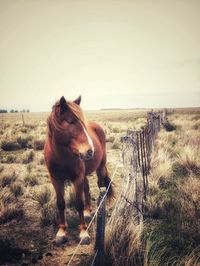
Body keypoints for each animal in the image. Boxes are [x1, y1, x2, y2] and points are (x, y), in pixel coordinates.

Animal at [44, 95, 115, 245]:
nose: (90, 151)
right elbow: (61, 203)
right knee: (87, 188)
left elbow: (78, 203)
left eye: (83, 123)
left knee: (100, 187)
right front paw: (61, 231)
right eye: (71, 122)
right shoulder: (56, 179)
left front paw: (83, 233)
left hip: (99, 169)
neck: (61, 156)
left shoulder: (77, 178)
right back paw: (88, 212)